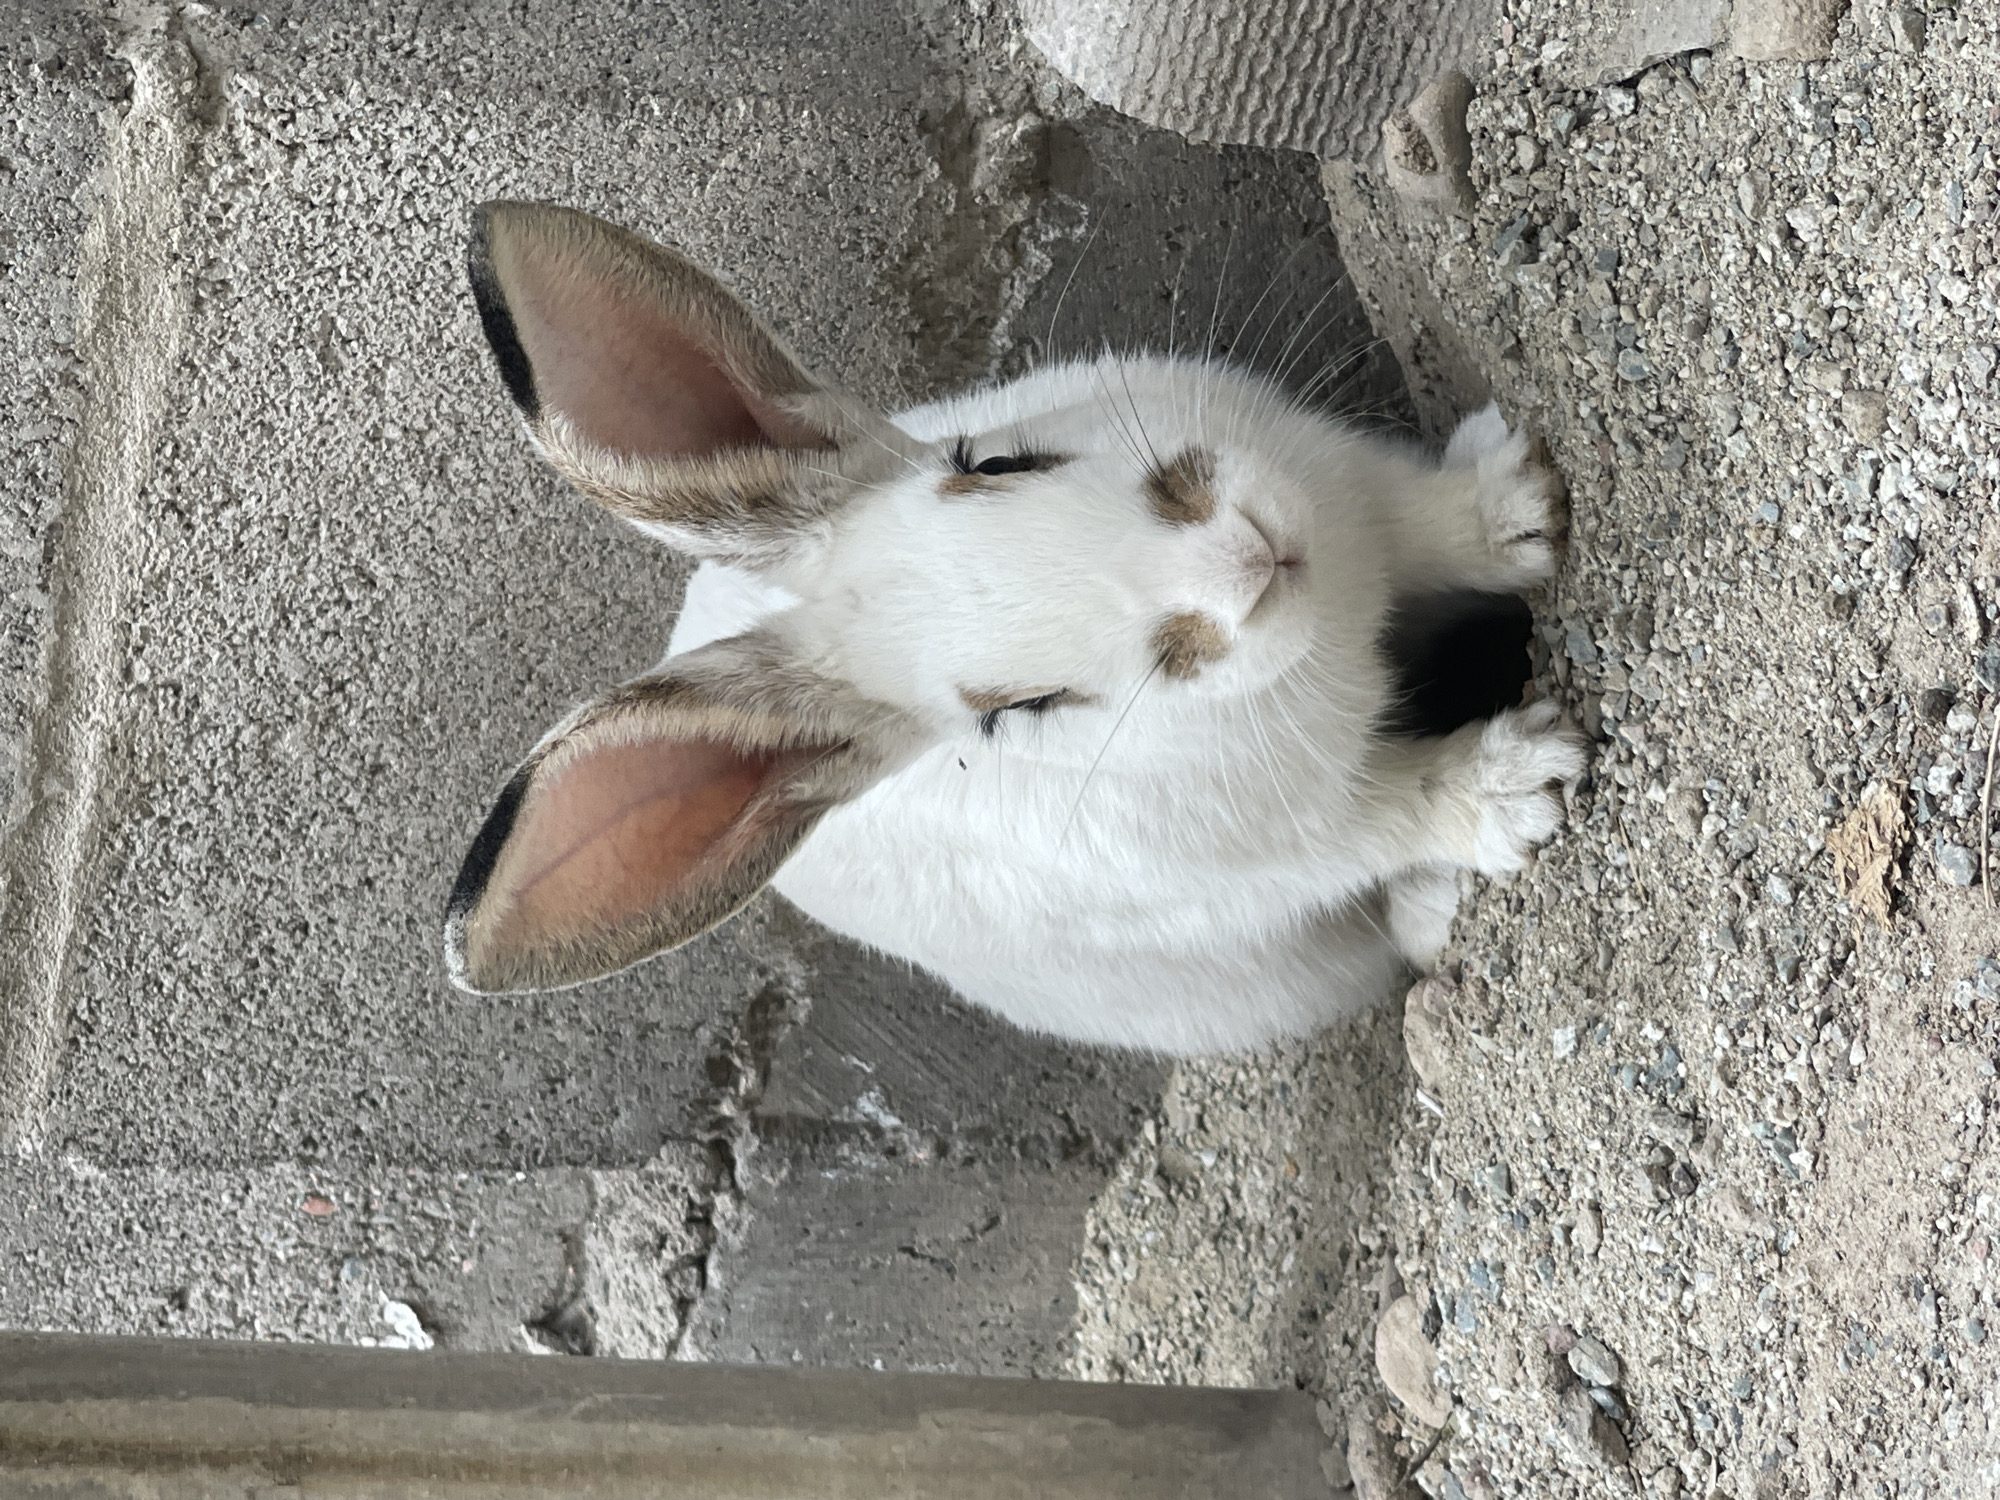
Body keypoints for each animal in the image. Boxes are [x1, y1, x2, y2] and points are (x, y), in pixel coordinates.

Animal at [442, 200, 1584, 1054]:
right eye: (1013, 713)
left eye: (991, 460)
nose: (1238, 565)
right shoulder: (1303, 841)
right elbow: (1406, 807)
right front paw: (1523, 784)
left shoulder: (1354, 495)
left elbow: (1431, 527)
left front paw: (1523, 509)